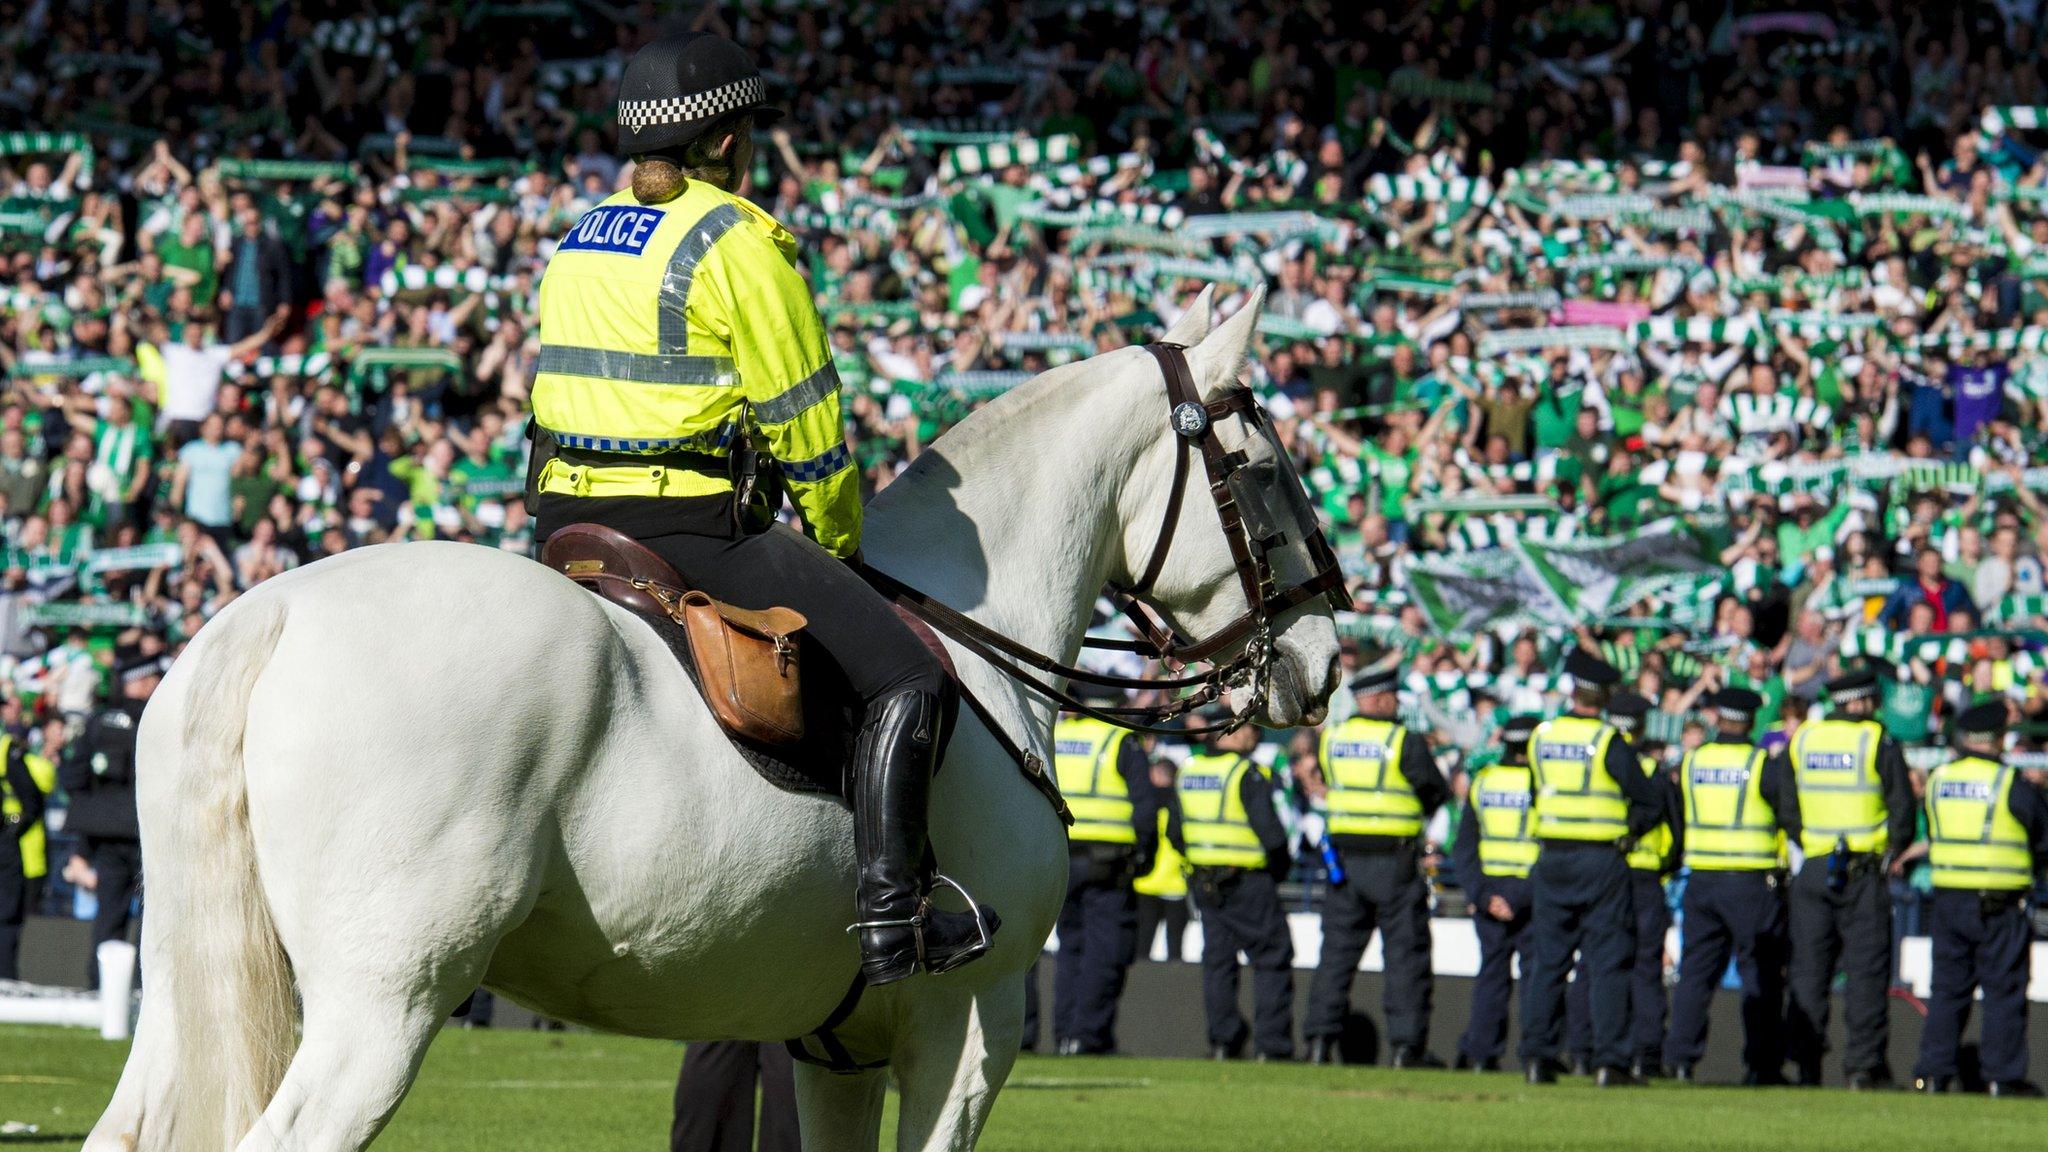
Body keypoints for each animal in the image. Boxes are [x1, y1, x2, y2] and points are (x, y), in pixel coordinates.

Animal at [83, 284, 1343, 1147]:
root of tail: (275, 612)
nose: (1323, 662)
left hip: (189, 998)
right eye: (1263, 468)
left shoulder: (837, 1050)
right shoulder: (965, 1031)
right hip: (380, 1010)